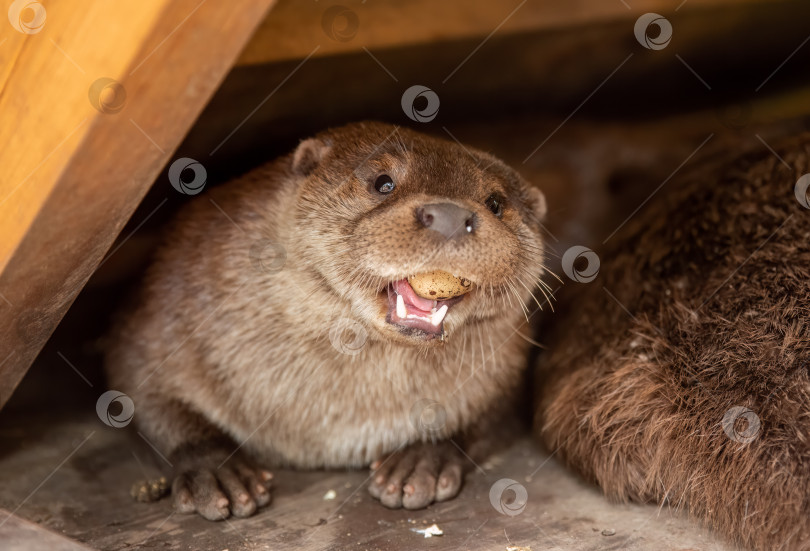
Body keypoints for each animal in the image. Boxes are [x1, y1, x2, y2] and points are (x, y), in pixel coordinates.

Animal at [104, 122, 548, 520]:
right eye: (383, 183)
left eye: (495, 202)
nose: (451, 216)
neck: (333, 417)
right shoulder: (160, 313)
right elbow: (139, 388)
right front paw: (215, 469)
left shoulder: (509, 367)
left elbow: (492, 417)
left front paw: (424, 458)